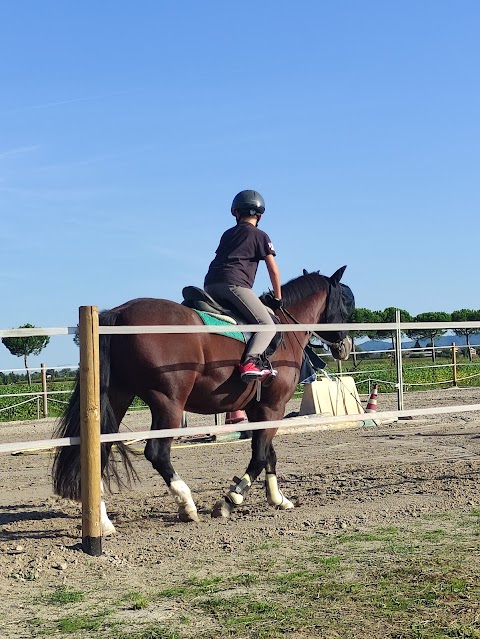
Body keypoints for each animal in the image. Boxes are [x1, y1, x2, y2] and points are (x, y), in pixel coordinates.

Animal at [52, 266, 354, 536]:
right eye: (347, 304)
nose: (345, 346)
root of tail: (120, 313)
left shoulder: (258, 408)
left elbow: (269, 454)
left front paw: (278, 498)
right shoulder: (273, 406)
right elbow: (259, 456)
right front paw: (231, 500)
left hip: (117, 397)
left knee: (100, 449)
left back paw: (102, 521)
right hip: (169, 402)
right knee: (157, 453)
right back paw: (187, 505)